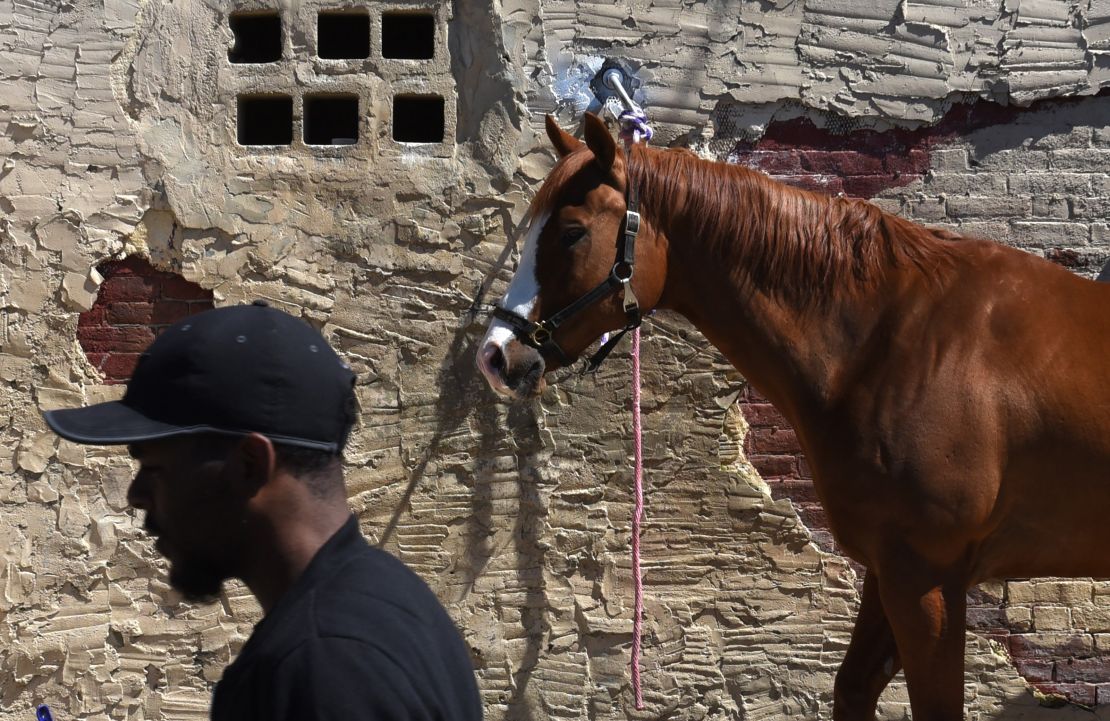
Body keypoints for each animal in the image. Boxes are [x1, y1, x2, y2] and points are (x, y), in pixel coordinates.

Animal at [472, 112, 1110, 718]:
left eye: (572, 233)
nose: (496, 356)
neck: (899, 340)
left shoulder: (928, 577)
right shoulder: (888, 569)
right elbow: (851, 691)